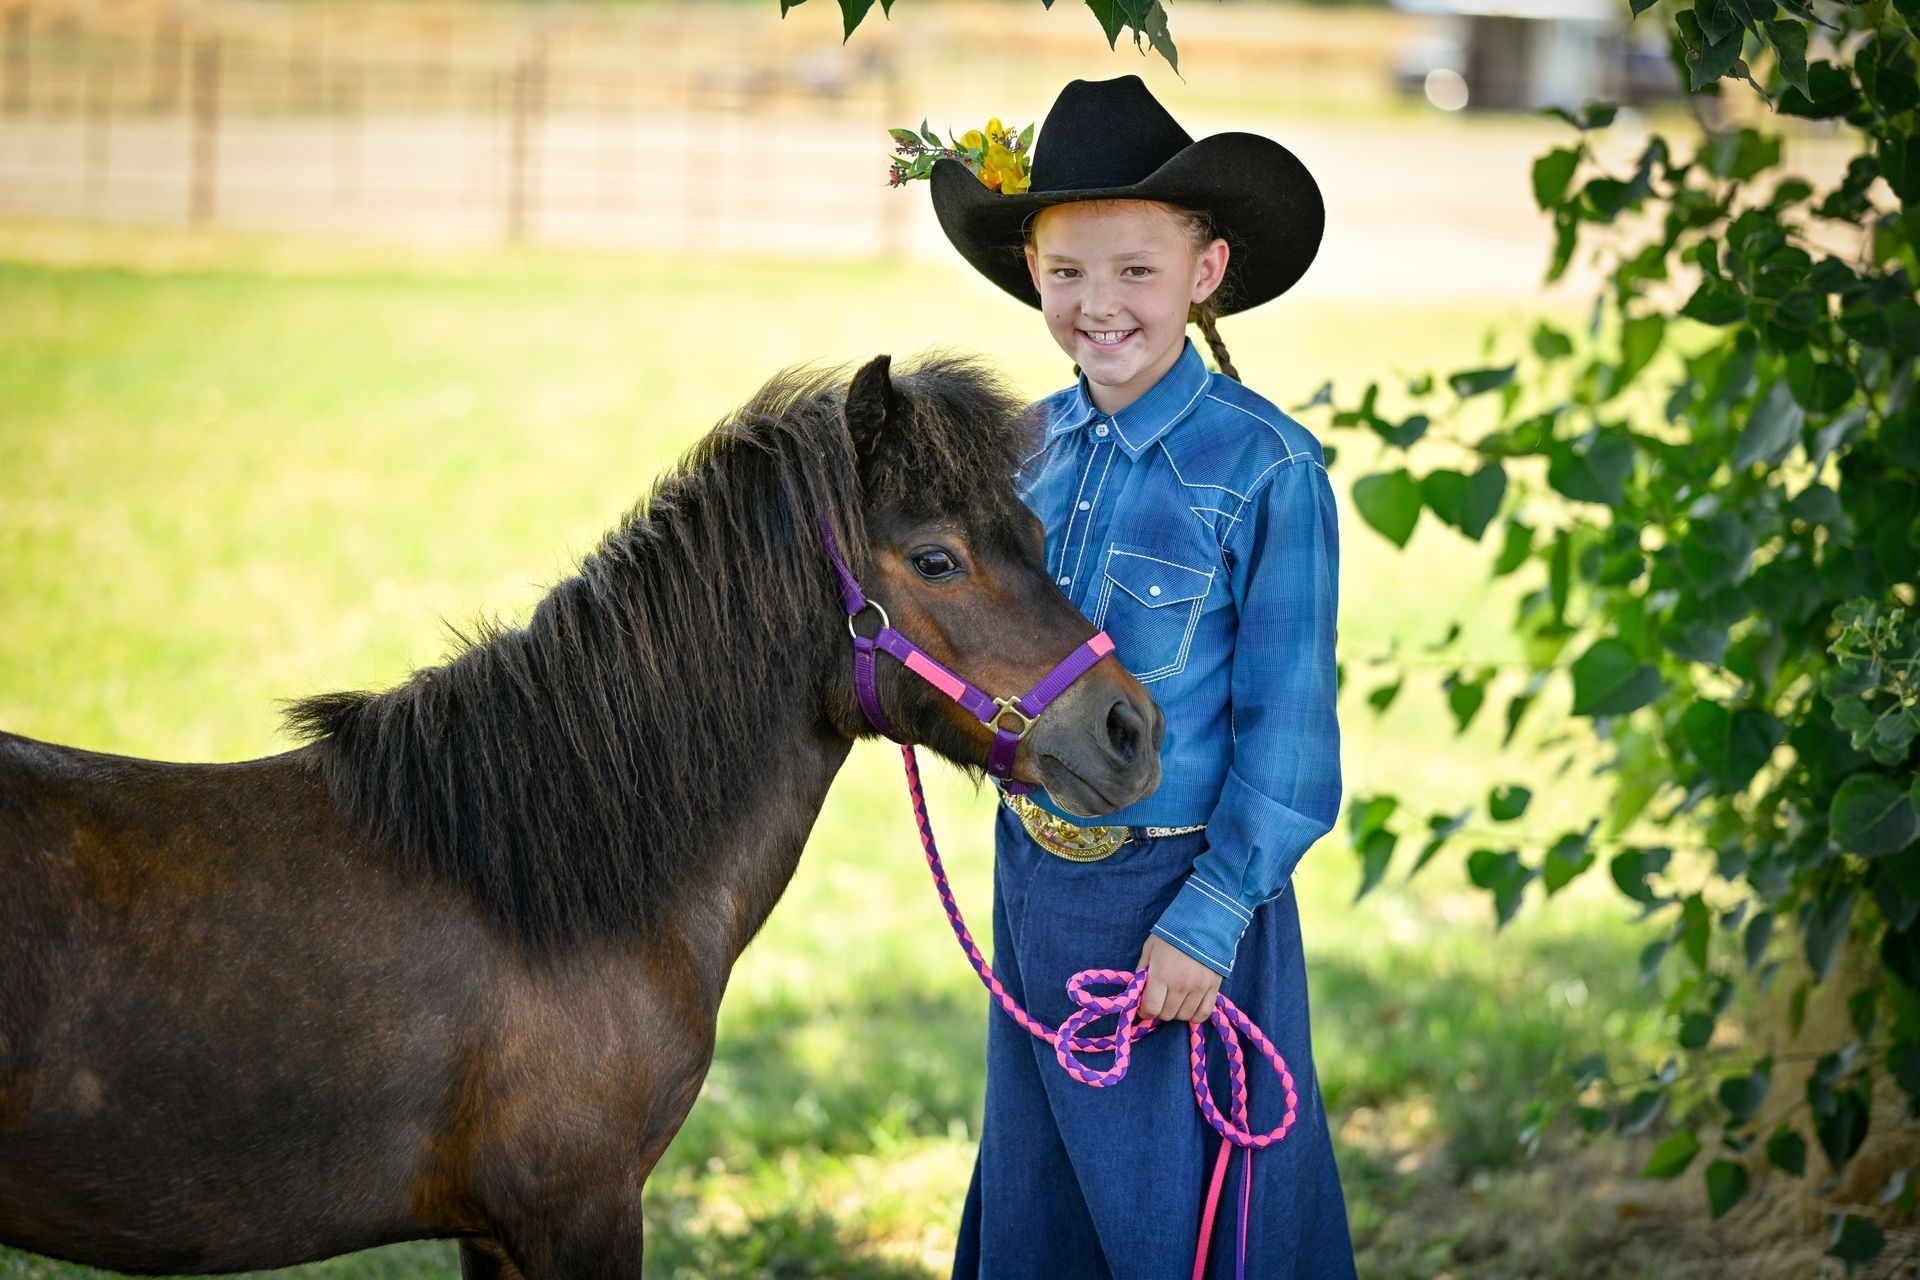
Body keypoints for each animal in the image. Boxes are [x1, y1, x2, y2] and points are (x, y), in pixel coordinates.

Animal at [0, 353, 1163, 1278]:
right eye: (935, 559)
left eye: (1033, 532)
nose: (1132, 727)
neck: (545, 880)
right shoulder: (580, 1211)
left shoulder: (492, 1232)